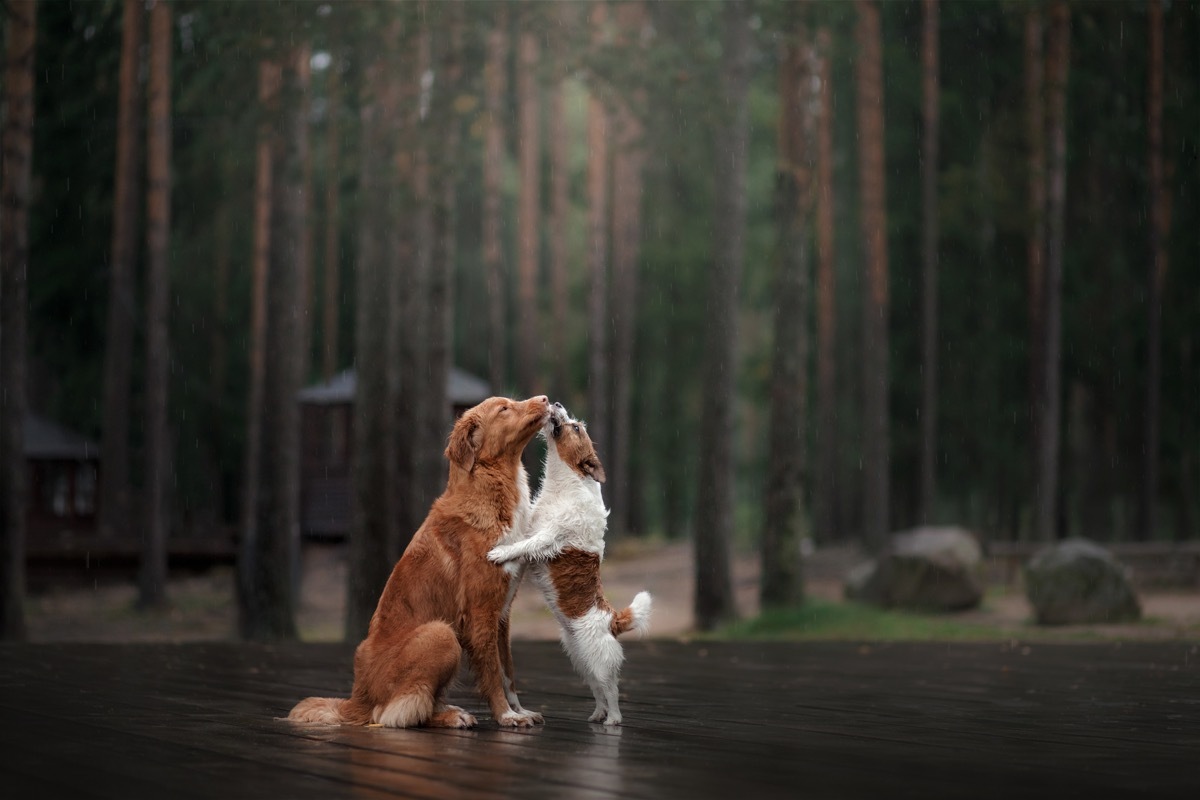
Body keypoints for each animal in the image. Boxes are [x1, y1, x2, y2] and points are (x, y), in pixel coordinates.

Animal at [288, 398, 549, 729]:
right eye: (504, 409)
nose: (545, 400)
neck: (491, 490)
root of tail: (357, 699)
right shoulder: (480, 614)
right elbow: (492, 673)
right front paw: (506, 716)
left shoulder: (502, 614)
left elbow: (508, 672)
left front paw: (519, 710)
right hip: (441, 633)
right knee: (396, 712)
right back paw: (451, 716)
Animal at [487, 402, 652, 724]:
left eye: (576, 428)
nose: (558, 404)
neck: (565, 483)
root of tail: (613, 620)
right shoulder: (534, 525)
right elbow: (522, 536)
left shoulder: (548, 536)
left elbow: (524, 545)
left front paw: (501, 553)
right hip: (580, 658)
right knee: (598, 691)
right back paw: (597, 715)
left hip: (598, 659)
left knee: (612, 690)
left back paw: (612, 719)